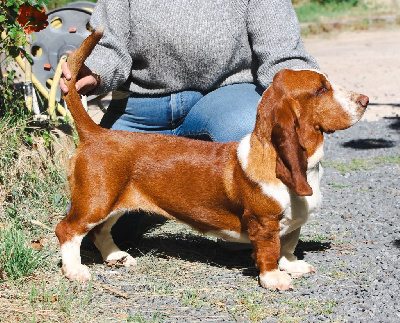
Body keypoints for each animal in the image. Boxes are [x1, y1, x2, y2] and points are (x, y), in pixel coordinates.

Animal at [56, 28, 368, 292]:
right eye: (321, 89)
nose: (365, 100)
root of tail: (96, 133)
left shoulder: (293, 222)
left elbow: (288, 245)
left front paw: (293, 266)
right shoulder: (264, 222)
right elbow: (270, 251)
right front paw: (274, 279)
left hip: (113, 202)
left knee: (100, 231)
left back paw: (116, 256)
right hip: (95, 201)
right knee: (68, 229)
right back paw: (75, 271)